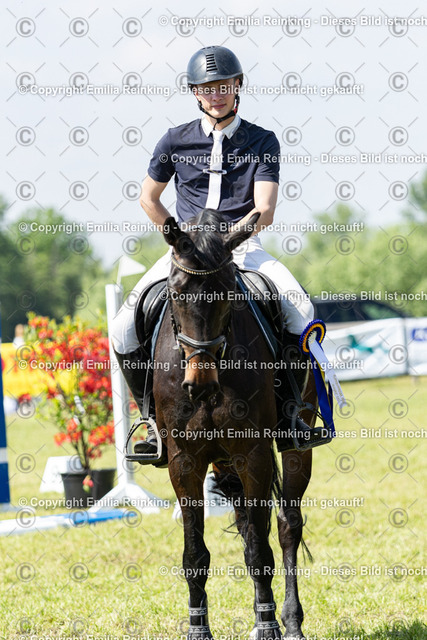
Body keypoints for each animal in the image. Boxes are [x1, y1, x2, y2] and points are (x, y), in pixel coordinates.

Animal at [152, 208, 313, 640]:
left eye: (227, 293)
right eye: (175, 293)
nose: (201, 386)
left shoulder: (253, 454)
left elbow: (260, 550)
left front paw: (268, 626)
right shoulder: (184, 461)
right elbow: (195, 554)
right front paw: (198, 629)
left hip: (295, 447)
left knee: (287, 526)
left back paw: (290, 621)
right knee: (246, 524)